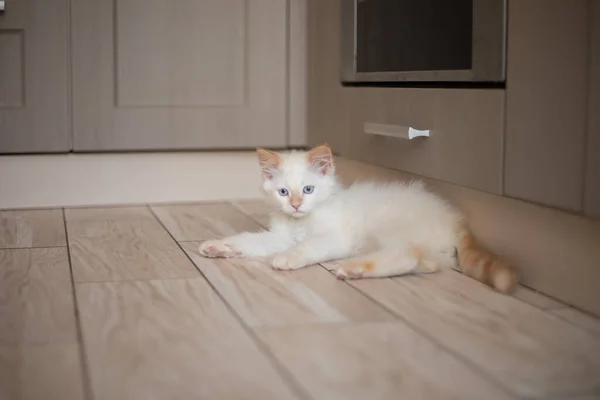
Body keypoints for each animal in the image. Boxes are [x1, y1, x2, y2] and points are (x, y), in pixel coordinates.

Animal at [199, 145, 516, 294]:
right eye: (283, 192)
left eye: (308, 189)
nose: (296, 205)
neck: (302, 221)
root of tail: (455, 218)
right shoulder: (279, 236)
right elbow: (248, 240)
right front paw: (219, 246)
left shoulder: (336, 237)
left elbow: (307, 247)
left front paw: (288, 258)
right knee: (423, 262)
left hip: (390, 229)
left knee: (406, 255)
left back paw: (352, 268)